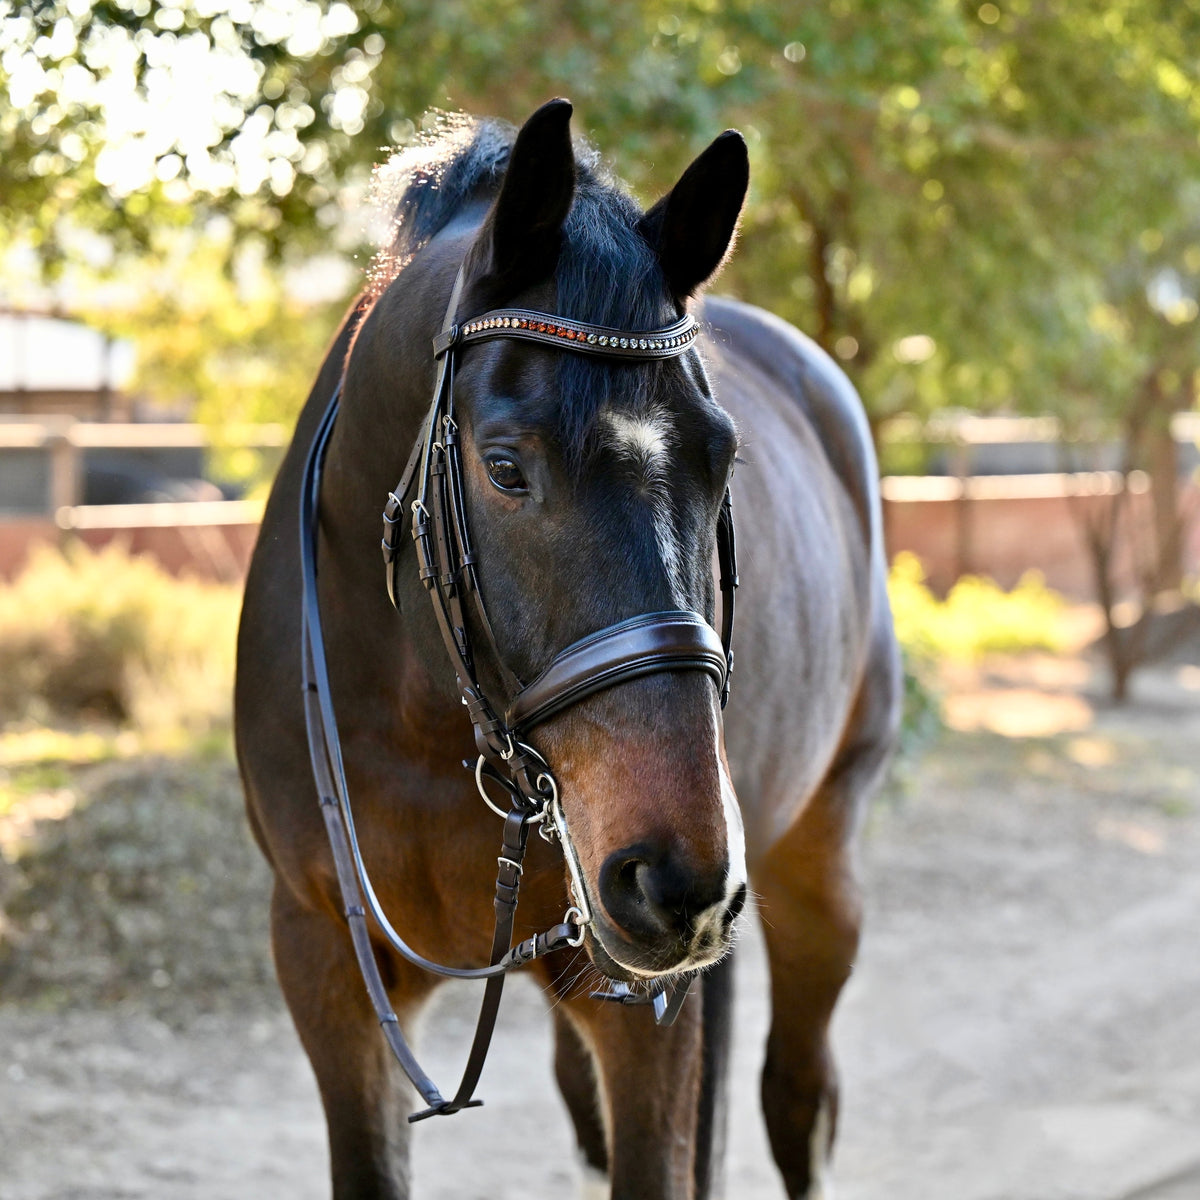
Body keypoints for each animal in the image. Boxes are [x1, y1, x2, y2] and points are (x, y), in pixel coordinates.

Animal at [236, 96, 902, 1200]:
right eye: (505, 467)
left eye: (724, 460)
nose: (676, 880)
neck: (424, 719)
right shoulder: (324, 962)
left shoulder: (644, 1004)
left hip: (818, 858)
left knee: (799, 1097)